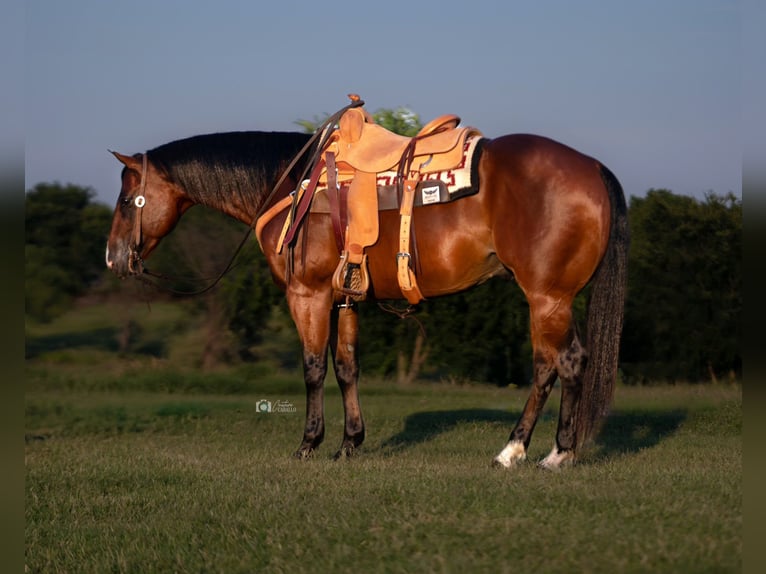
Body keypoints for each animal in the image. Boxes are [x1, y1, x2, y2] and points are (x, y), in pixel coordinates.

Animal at [105, 116, 628, 468]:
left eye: (129, 199)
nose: (113, 257)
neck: (290, 183)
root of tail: (592, 166)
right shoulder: (344, 298)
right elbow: (346, 368)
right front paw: (349, 443)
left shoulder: (308, 294)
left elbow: (313, 368)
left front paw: (308, 444)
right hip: (554, 298)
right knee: (561, 364)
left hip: (546, 297)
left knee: (555, 364)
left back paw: (532, 452)